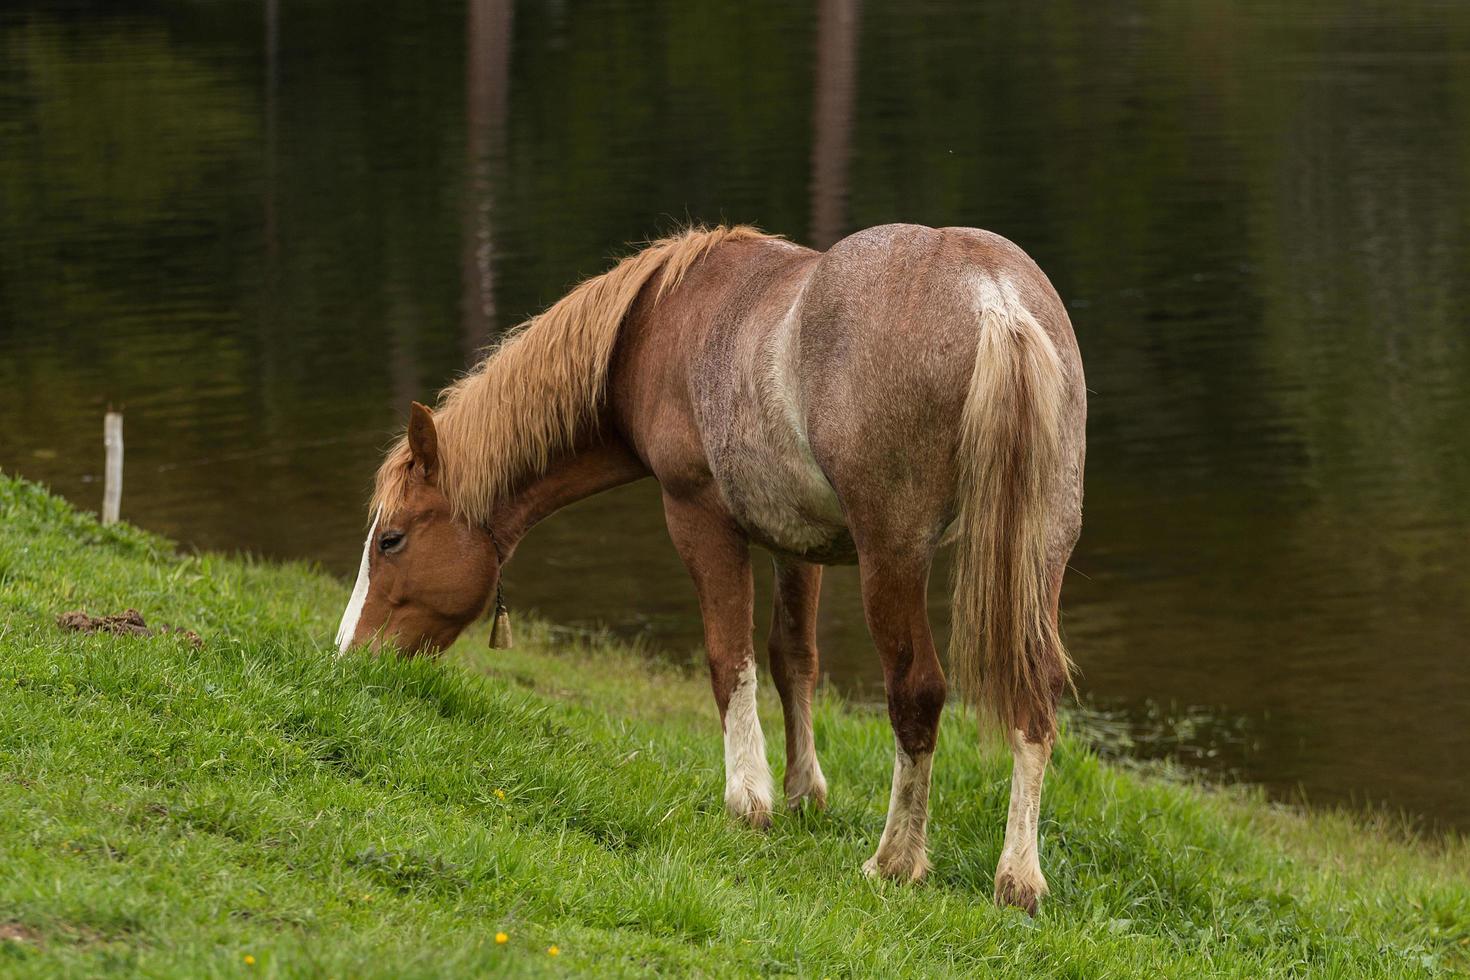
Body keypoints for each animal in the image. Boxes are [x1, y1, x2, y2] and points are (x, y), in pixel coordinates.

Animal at [338, 226, 1087, 916]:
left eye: (392, 540)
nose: (348, 657)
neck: (651, 327)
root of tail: (993, 297)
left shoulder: (698, 518)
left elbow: (729, 658)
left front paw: (747, 798)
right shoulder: (798, 543)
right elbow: (792, 659)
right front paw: (803, 792)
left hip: (893, 557)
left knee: (917, 692)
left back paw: (895, 861)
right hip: (1040, 551)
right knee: (1036, 694)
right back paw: (1019, 878)